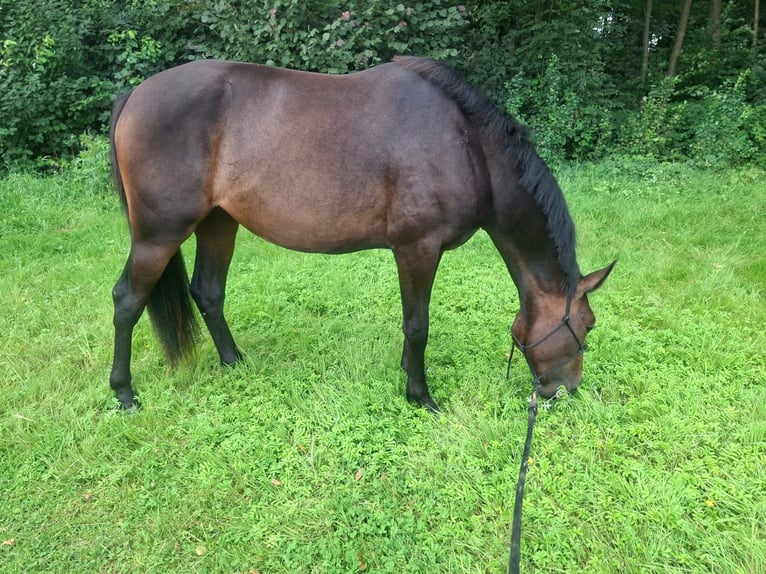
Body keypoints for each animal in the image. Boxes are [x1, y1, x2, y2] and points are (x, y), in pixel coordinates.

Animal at [108, 56, 614, 412]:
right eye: (586, 324)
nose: (566, 390)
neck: (466, 143)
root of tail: (135, 94)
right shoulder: (418, 248)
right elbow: (418, 325)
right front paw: (420, 396)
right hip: (158, 235)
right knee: (127, 301)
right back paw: (124, 393)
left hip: (218, 223)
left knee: (208, 292)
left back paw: (235, 363)